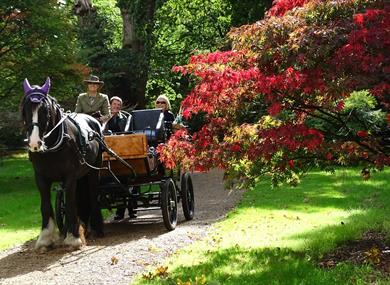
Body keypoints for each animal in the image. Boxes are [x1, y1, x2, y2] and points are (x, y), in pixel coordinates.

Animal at [21, 77, 103, 248]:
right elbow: (46, 205)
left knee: (92, 194)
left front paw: (73, 237)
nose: (34, 142)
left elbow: (71, 203)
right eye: (25, 109)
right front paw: (45, 238)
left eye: (44, 110)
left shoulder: (70, 176)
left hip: (94, 169)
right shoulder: (41, 178)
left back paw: (96, 227)